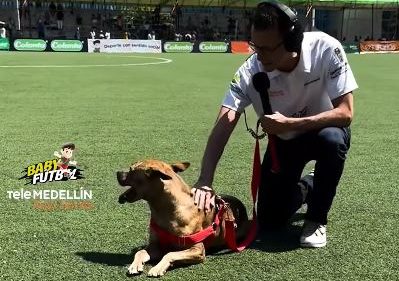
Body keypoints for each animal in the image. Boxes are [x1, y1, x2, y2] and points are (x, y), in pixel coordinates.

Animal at [116, 159, 250, 276]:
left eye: (132, 169)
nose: (117, 173)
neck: (165, 210)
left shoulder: (197, 249)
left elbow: (170, 254)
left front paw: (158, 268)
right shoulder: (155, 246)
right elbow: (140, 251)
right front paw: (135, 265)